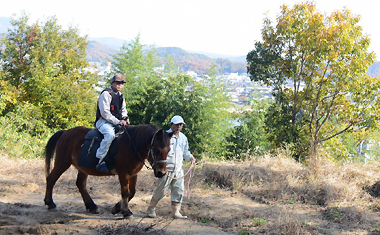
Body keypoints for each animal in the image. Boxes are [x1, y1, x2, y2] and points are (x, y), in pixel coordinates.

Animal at [43, 125, 173, 218]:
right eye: (156, 149)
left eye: (169, 150)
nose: (161, 173)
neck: (131, 145)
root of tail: (65, 132)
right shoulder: (123, 174)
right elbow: (125, 193)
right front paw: (126, 212)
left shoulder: (133, 174)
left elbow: (132, 192)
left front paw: (117, 208)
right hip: (62, 163)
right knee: (51, 179)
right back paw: (50, 203)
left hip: (82, 168)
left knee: (81, 184)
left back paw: (92, 206)